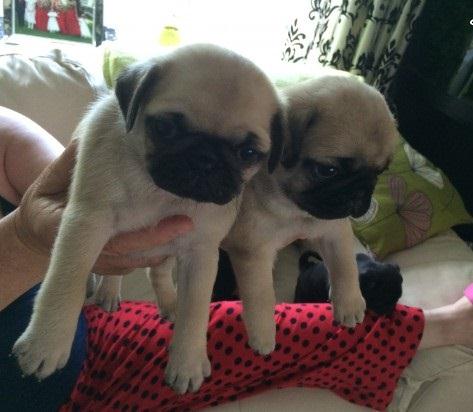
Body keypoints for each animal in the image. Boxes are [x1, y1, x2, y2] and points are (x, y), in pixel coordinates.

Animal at [12, 43, 284, 394]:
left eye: (248, 153)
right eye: (166, 128)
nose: (205, 159)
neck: (162, 193)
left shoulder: (200, 253)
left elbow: (195, 310)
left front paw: (187, 360)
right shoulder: (87, 222)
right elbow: (65, 281)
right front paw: (47, 342)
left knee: (158, 272)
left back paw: (168, 302)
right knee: (104, 274)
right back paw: (105, 293)